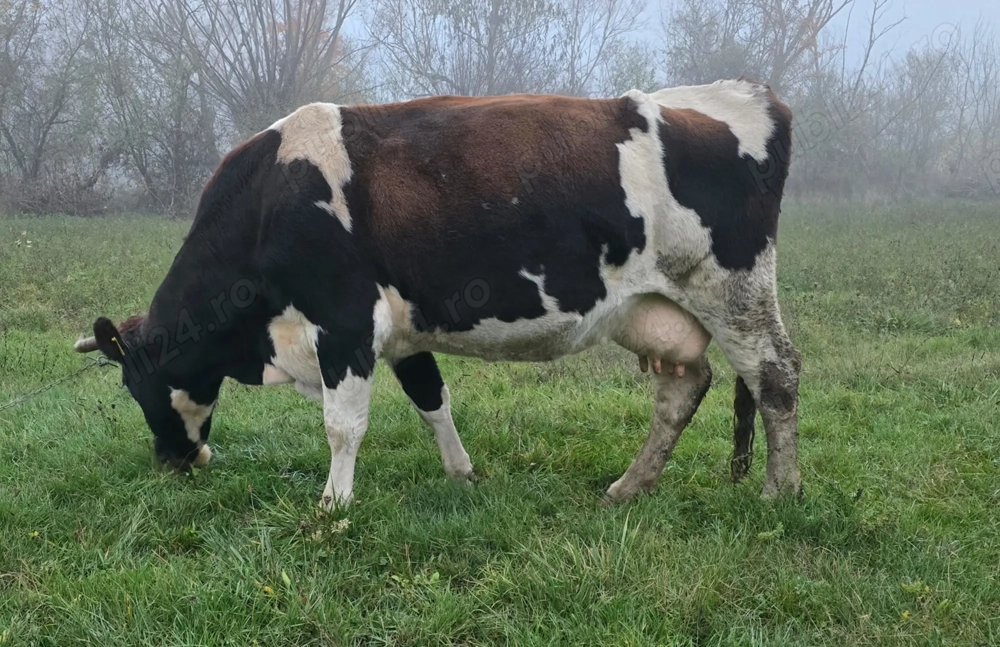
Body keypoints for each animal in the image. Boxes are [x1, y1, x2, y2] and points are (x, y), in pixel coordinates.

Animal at [73, 79, 800, 509]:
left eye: (134, 386)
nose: (172, 460)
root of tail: (745, 93)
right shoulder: (398, 328)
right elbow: (432, 400)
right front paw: (461, 474)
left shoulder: (344, 322)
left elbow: (342, 424)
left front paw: (333, 507)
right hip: (655, 307)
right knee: (684, 386)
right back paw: (629, 486)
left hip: (732, 288)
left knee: (775, 375)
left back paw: (780, 490)